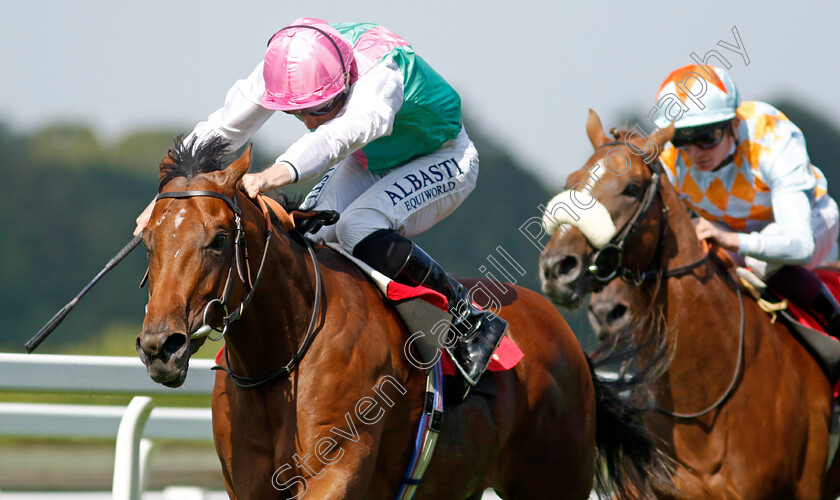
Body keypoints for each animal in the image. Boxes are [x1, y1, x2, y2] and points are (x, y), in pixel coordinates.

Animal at [135, 136, 672, 500]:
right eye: (148, 241)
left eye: (219, 239)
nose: (161, 347)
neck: (282, 358)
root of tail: (566, 338)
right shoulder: (248, 480)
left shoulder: (337, 470)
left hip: (553, 479)